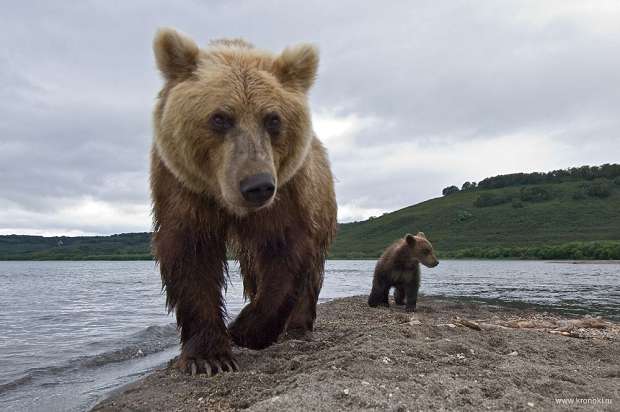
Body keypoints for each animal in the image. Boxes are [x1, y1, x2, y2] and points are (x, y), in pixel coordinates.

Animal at [150, 28, 336, 376]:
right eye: (220, 118)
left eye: (273, 119)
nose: (257, 186)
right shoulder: (183, 188)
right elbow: (191, 256)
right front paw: (209, 356)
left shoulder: (287, 191)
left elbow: (287, 250)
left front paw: (245, 330)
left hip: (323, 204)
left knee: (312, 269)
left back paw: (298, 327)